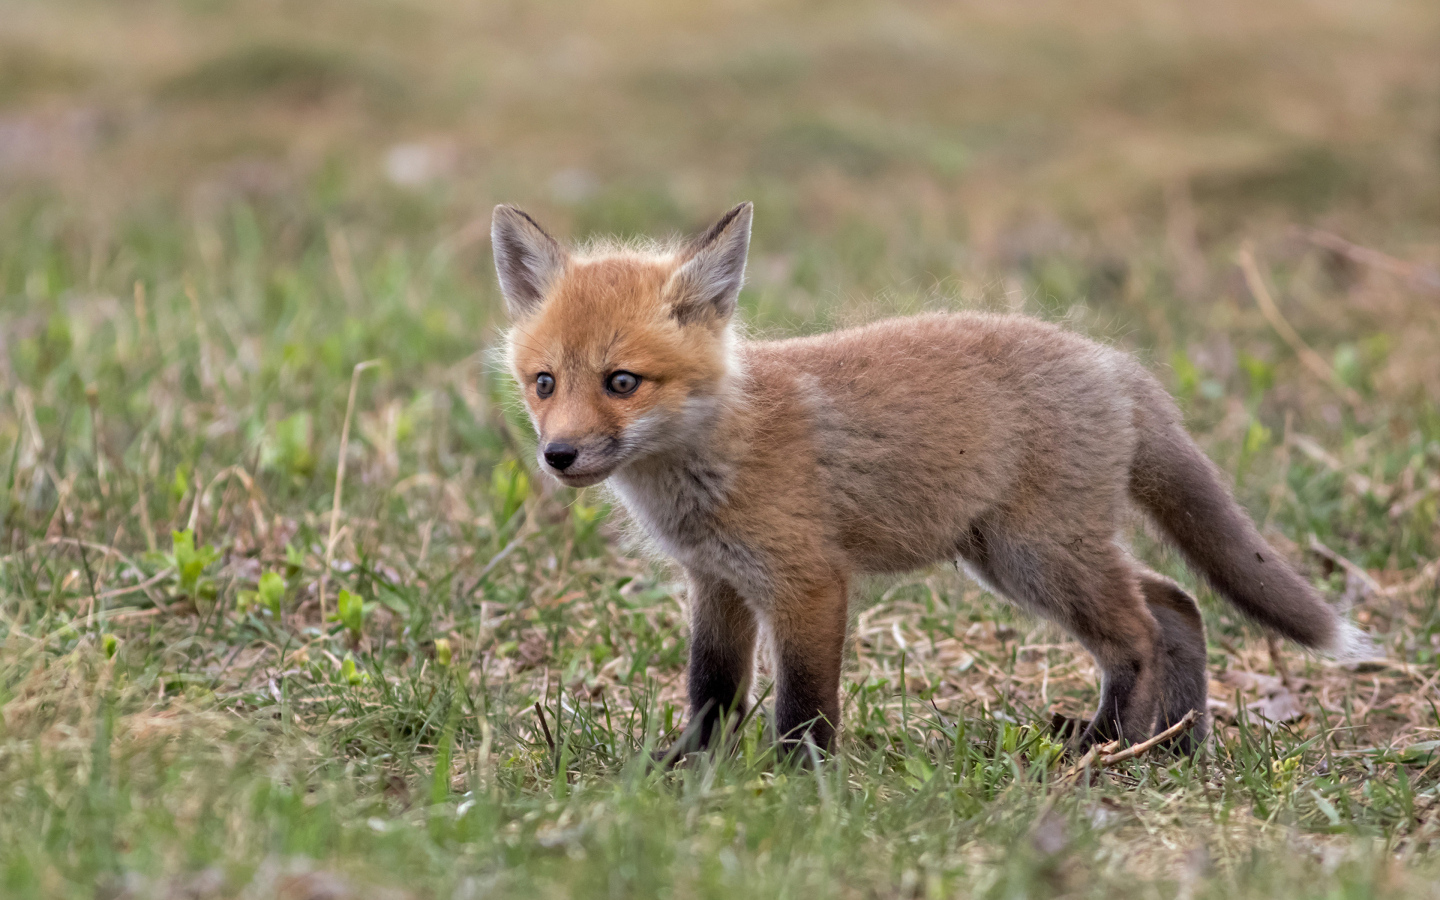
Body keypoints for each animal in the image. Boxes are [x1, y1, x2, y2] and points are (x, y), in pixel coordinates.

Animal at [498, 200, 1370, 754]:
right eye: (545, 383)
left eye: (621, 382)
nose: (559, 456)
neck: (715, 452)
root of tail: (1112, 362)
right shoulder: (717, 582)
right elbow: (711, 689)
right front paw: (690, 767)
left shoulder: (809, 581)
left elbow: (804, 702)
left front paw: (799, 780)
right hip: (1015, 557)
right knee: (1178, 602)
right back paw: (1172, 745)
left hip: (1037, 555)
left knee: (1140, 633)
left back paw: (1103, 745)